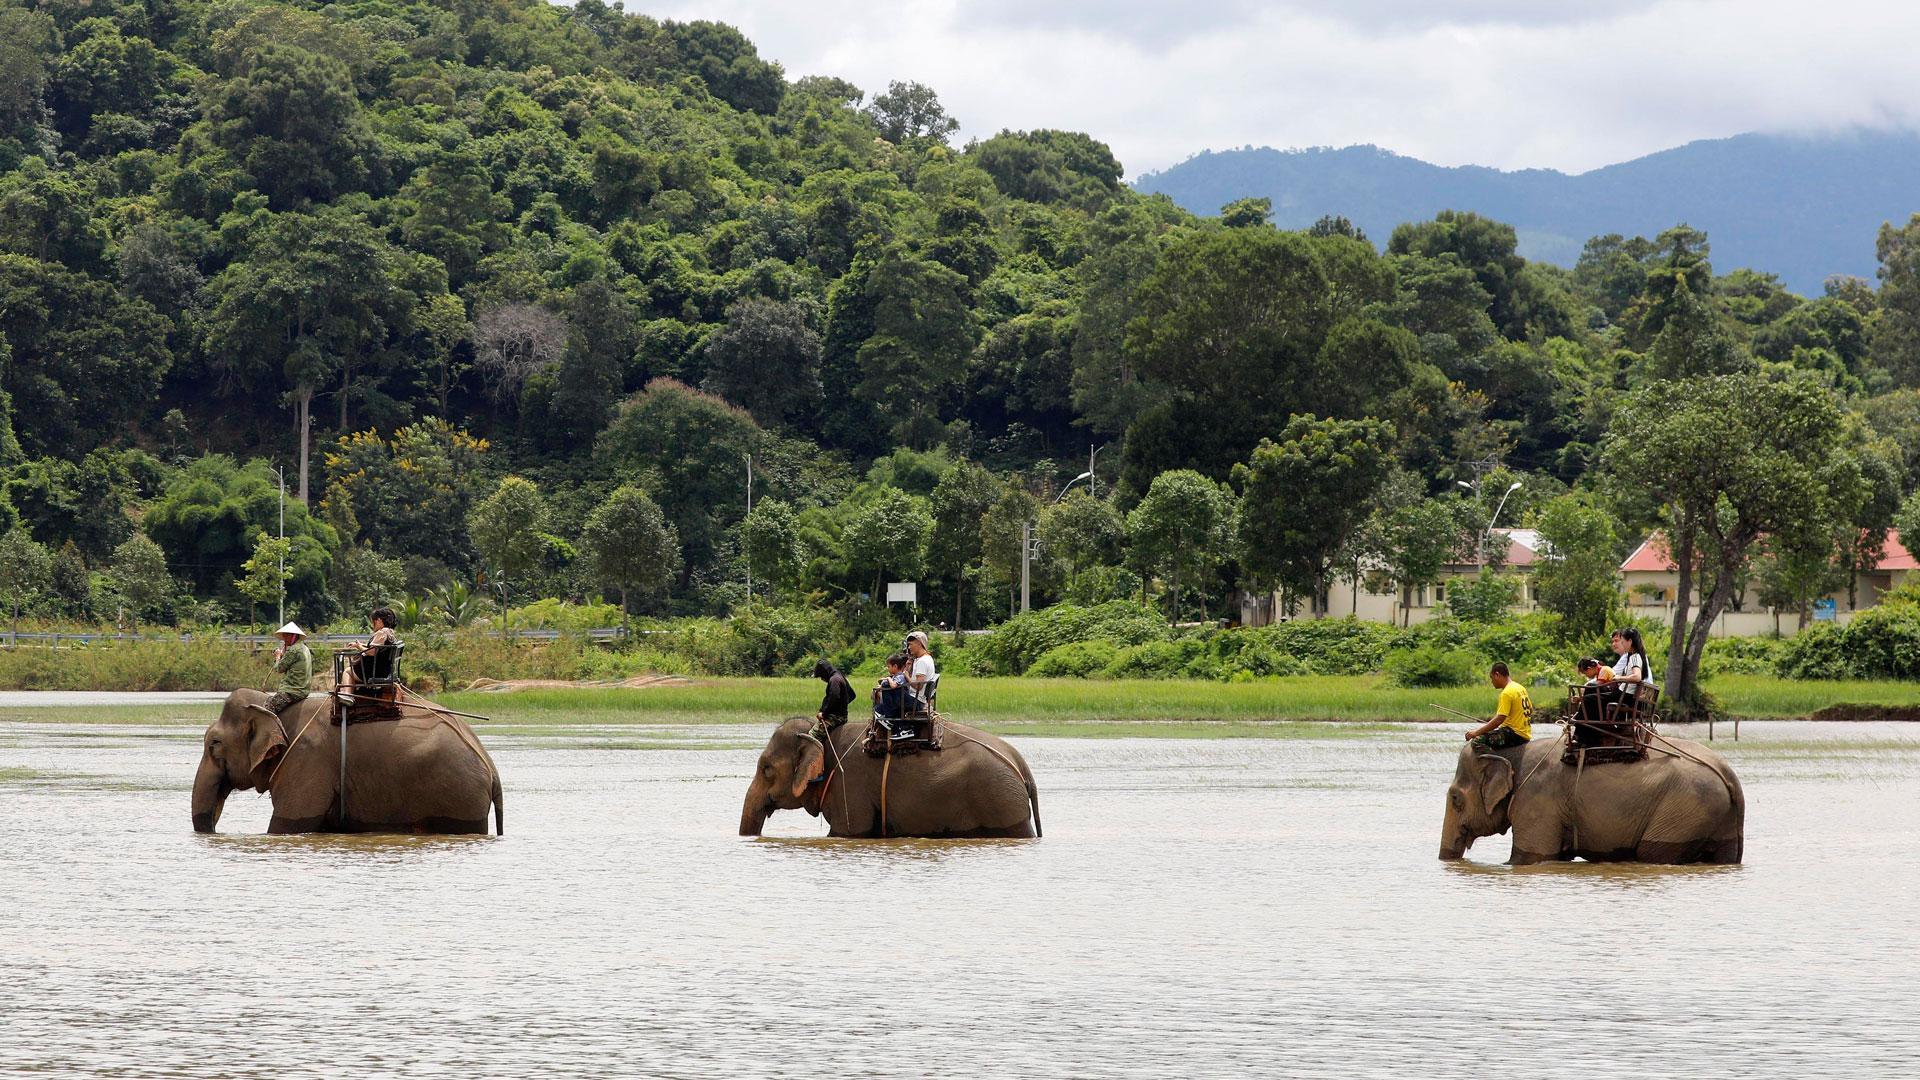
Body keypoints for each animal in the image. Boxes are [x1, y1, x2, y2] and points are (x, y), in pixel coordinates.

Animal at [192, 689, 503, 835]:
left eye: (214, 743)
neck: (271, 706)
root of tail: (491, 768)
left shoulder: (307, 761)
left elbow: (287, 824)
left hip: (460, 797)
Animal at [739, 717, 1041, 838]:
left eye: (766, 769)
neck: (822, 734)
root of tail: (1020, 765)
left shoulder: (849, 787)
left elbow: (846, 832)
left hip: (1001, 802)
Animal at [1439, 734, 1742, 865]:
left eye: (1455, 798)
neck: (1512, 752)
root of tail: (1728, 774)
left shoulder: (1537, 802)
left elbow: (1528, 858)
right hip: (1716, 817)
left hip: (1684, 810)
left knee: (1653, 853)